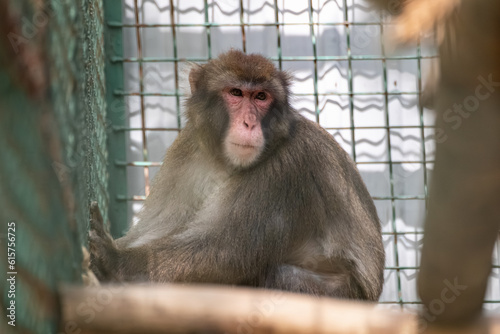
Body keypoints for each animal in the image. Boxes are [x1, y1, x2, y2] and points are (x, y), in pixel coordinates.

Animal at [90, 51, 384, 302]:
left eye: (261, 97)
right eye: (236, 93)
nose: (249, 123)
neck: (224, 161)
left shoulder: (286, 167)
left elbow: (227, 252)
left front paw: (114, 261)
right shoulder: (186, 149)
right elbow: (154, 229)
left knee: (276, 275)